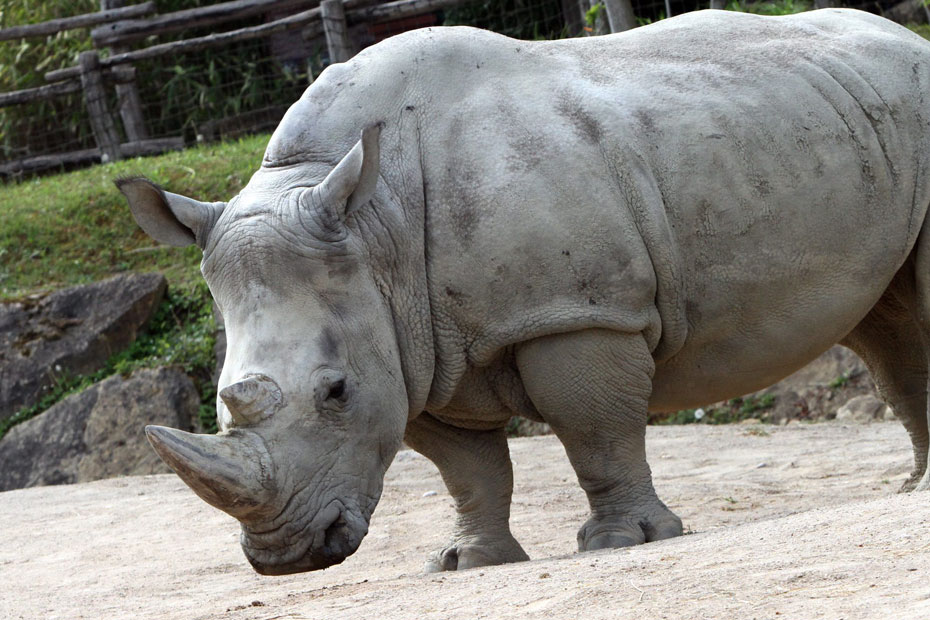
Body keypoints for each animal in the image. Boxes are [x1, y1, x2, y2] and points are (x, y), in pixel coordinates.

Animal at [118, 8, 930, 575]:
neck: (375, 229)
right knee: (884, 325)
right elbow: (467, 469)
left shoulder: (573, 312)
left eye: (336, 392)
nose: (286, 557)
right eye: (220, 400)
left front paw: (623, 542)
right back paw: (914, 489)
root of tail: (906, 36)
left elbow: (595, 429)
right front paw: (465, 563)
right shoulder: (411, 346)